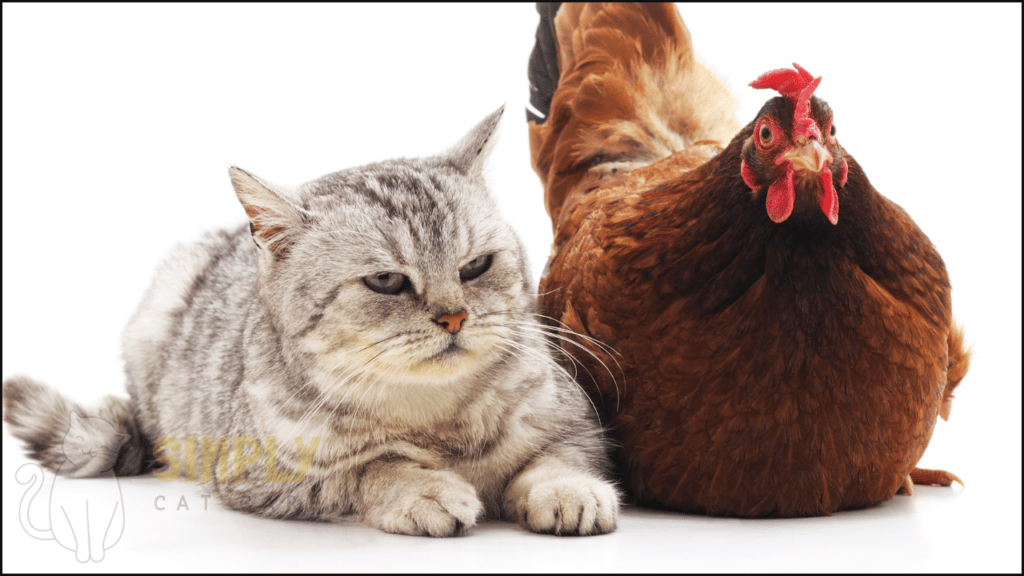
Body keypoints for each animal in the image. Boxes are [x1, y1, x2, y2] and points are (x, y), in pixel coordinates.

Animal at [4, 106, 618, 532]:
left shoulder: (576, 424)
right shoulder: (260, 474)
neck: (436, 419)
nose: (454, 317)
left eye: (475, 266)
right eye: (386, 281)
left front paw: (568, 490)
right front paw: (423, 488)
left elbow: (555, 458)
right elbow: (369, 468)